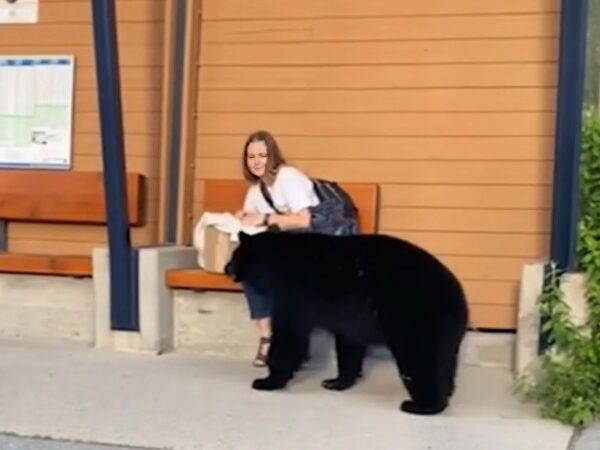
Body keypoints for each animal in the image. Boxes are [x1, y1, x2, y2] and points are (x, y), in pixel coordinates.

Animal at [225, 232, 468, 414]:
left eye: (234, 255)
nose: (226, 268)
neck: (277, 264)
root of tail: (457, 296)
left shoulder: (296, 294)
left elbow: (290, 336)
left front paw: (267, 381)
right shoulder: (348, 315)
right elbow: (348, 344)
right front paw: (336, 382)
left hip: (414, 320)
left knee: (420, 360)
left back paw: (422, 405)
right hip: (445, 331)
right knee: (444, 361)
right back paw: (446, 392)